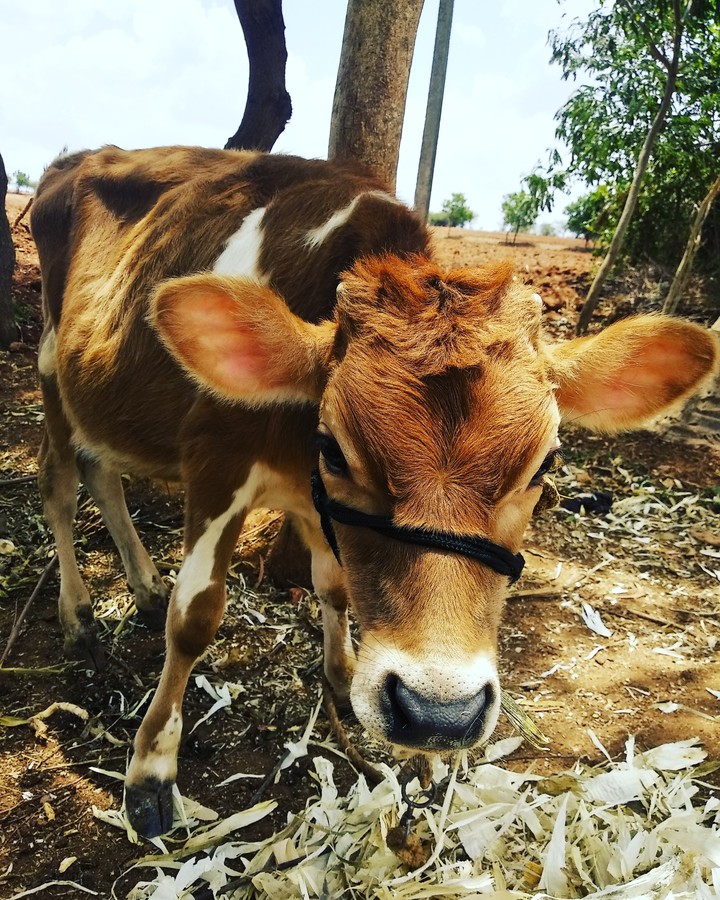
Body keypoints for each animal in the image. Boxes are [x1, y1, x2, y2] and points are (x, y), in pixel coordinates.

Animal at [30, 145, 719, 837]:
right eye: (334, 448)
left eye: (545, 463)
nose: (438, 713)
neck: (294, 454)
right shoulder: (215, 462)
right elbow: (196, 616)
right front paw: (150, 772)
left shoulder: (317, 507)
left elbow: (334, 584)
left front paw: (340, 674)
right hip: (52, 366)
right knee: (60, 485)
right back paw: (79, 614)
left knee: (102, 474)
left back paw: (143, 587)